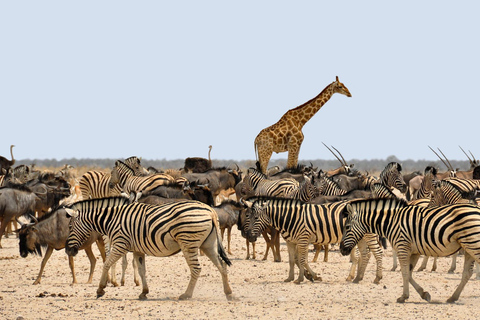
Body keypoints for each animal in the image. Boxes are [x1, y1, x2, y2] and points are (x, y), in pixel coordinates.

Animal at [64, 196, 233, 302]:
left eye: (70, 227)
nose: (68, 251)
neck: (112, 219)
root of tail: (210, 210)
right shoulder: (138, 250)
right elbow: (141, 270)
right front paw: (144, 292)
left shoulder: (120, 244)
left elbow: (106, 264)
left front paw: (100, 289)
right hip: (208, 244)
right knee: (222, 265)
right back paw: (229, 293)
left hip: (188, 243)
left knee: (197, 269)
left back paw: (186, 295)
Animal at [242, 198, 384, 284]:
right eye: (247, 216)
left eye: (255, 217)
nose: (248, 236)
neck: (289, 218)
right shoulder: (290, 241)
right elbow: (293, 260)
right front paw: (291, 278)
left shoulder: (303, 240)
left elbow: (302, 260)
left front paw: (301, 278)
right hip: (360, 237)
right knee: (365, 255)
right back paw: (357, 277)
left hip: (368, 235)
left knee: (377, 253)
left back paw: (377, 278)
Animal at [340, 198, 480, 302]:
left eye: (347, 227)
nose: (341, 249)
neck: (391, 221)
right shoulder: (414, 251)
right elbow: (409, 273)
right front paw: (424, 294)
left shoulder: (402, 247)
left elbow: (405, 273)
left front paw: (403, 296)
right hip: (468, 246)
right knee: (467, 273)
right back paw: (453, 297)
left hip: (473, 244)